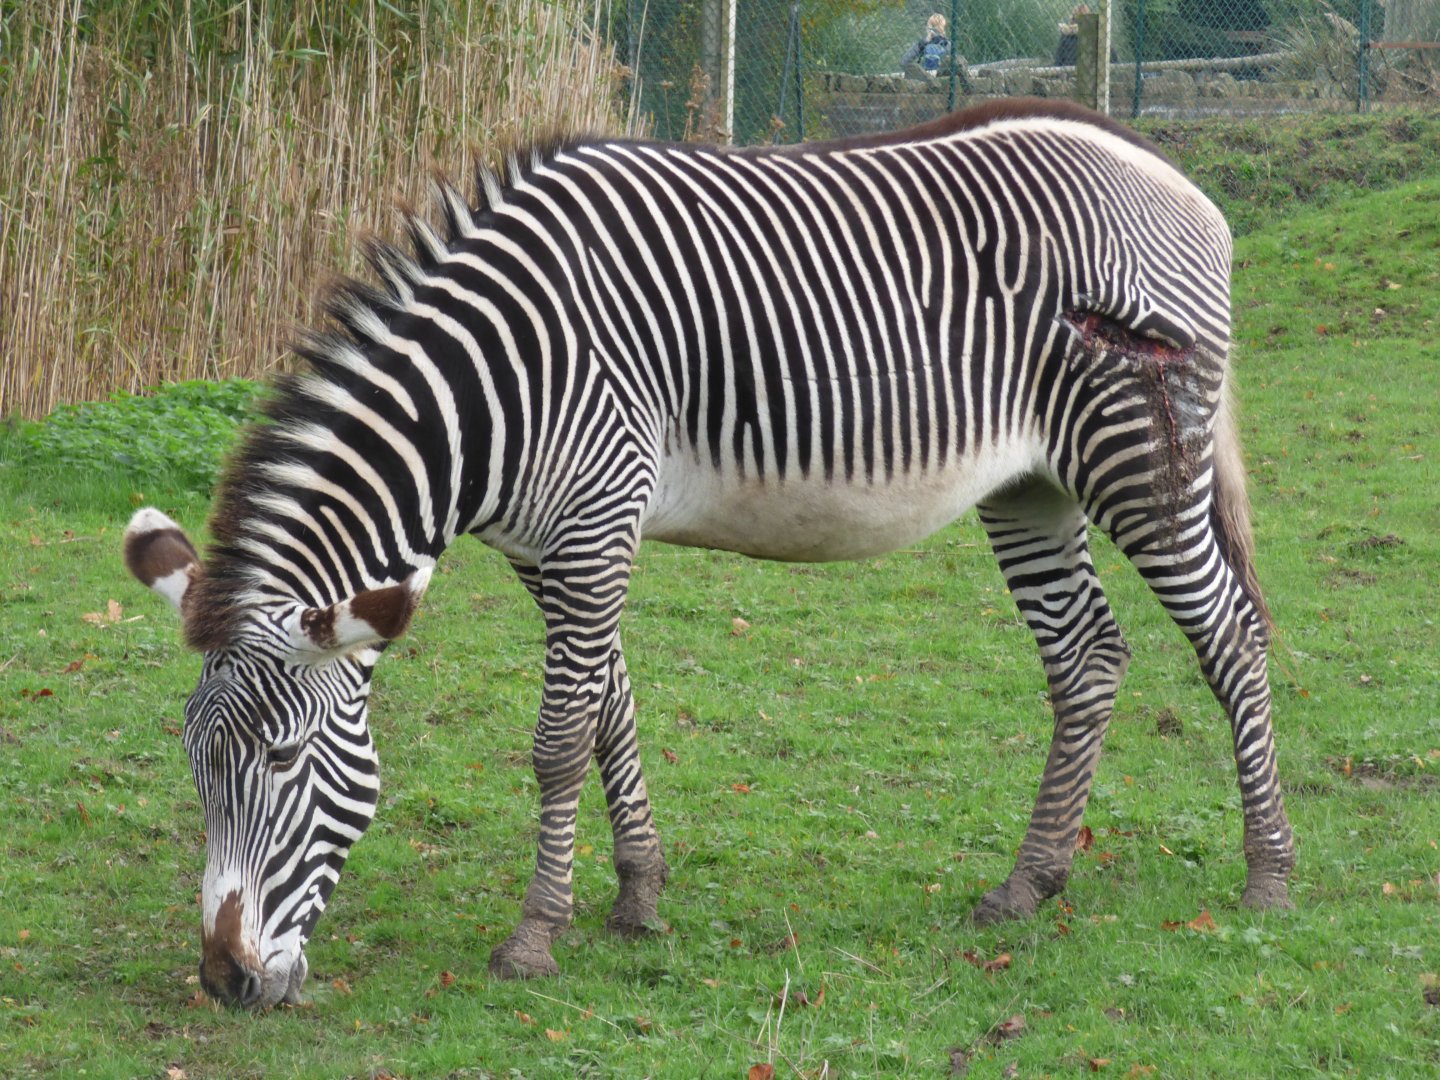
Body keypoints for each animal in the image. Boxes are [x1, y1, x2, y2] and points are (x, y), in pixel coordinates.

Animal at [125, 98, 1294, 1006]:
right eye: (191, 758)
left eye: (283, 758)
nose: (224, 983)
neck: (492, 386)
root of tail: (1158, 163)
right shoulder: (552, 544)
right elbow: (609, 711)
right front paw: (638, 896)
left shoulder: (595, 521)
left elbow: (559, 740)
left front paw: (533, 938)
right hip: (1032, 483)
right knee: (1088, 656)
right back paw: (1030, 883)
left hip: (1139, 459)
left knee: (1232, 636)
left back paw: (1267, 877)